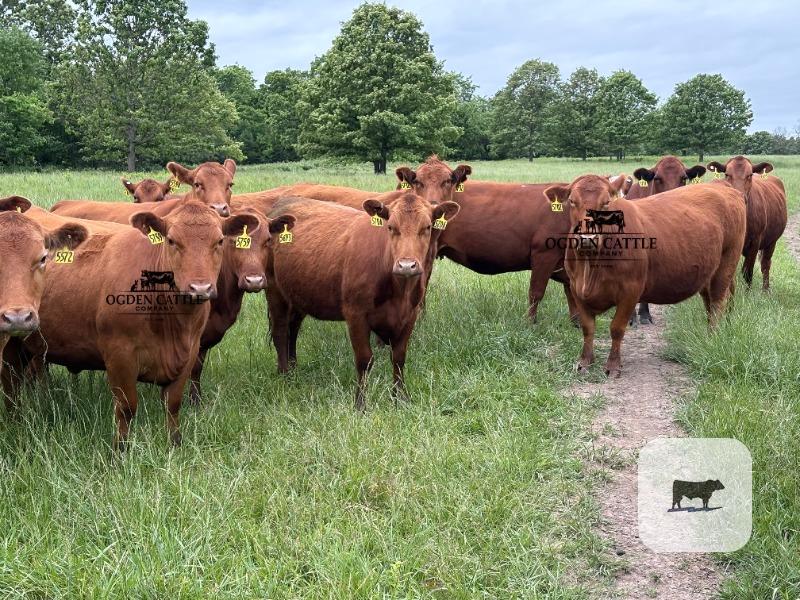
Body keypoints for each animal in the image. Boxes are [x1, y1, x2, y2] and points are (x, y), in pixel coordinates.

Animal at [265, 193, 460, 410]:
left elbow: (399, 357)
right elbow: (364, 359)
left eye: (426, 227)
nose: (406, 265)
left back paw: (293, 367)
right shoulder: (356, 315)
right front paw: (360, 404)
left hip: (298, 294)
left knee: (293, 329)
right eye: (390, 227)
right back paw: (285, 374)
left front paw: (400, 398)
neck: (399, 291)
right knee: (280, 331)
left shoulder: (410, 315)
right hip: (275, 291)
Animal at [543, 175, 746, 377]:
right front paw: (585, 361)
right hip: (707, 272)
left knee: (718, 301)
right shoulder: (576, 288)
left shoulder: (630, 291)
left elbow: (617, 328)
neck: (590, 269)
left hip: (727, 263)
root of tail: (721, 185)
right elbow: (588, 328)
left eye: (606, 202)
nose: (587, 238)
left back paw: (713, 336)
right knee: (710, 302)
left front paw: (613, 365)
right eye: (572, 201)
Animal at [707, 156, 788, 291]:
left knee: (766, 264)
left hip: (771, 242)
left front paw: (748, 292)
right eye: (727, 174)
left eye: (750, 175)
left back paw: (765, 290)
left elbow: (748, 271)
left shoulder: (755, 241)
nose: (739, 195)